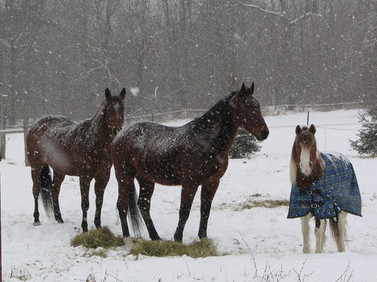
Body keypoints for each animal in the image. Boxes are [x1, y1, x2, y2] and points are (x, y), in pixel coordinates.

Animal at [26, 88, 128, 231]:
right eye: (109, 109)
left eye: (122, 108)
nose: (118, 130)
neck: (93, 141)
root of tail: (36, 125)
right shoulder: (84, 177)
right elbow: (85, 203)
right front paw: (84, 227)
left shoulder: (103, 177)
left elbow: (99, 201)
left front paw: (98, 225)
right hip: (36, 166)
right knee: (35, 190)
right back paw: (36, 219)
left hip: (59, 170)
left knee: (55, 191)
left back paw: (59, 218)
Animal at [110, 82, 268, 242]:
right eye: (247, 107)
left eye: (257, 106)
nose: (264, 133)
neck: (206, 141)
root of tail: (119, 136)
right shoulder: (190, 183)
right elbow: (185, 211)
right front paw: (178, 239)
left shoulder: (212, 182)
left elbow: (205, 211)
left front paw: (203, 237)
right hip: (124, 177)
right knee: (122, 206)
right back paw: (127, 237)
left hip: (146, 179)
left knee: (143, 205)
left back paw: (155, 237)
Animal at [288, 124, 362, 252]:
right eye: (298, 144)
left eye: (313, 144)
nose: (305, 167)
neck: (309, 181)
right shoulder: (302, 209)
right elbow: (306, 234)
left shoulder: (322, 209)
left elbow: (318, 233)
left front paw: (318, 253)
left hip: (341, 210)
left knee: (340, 232)